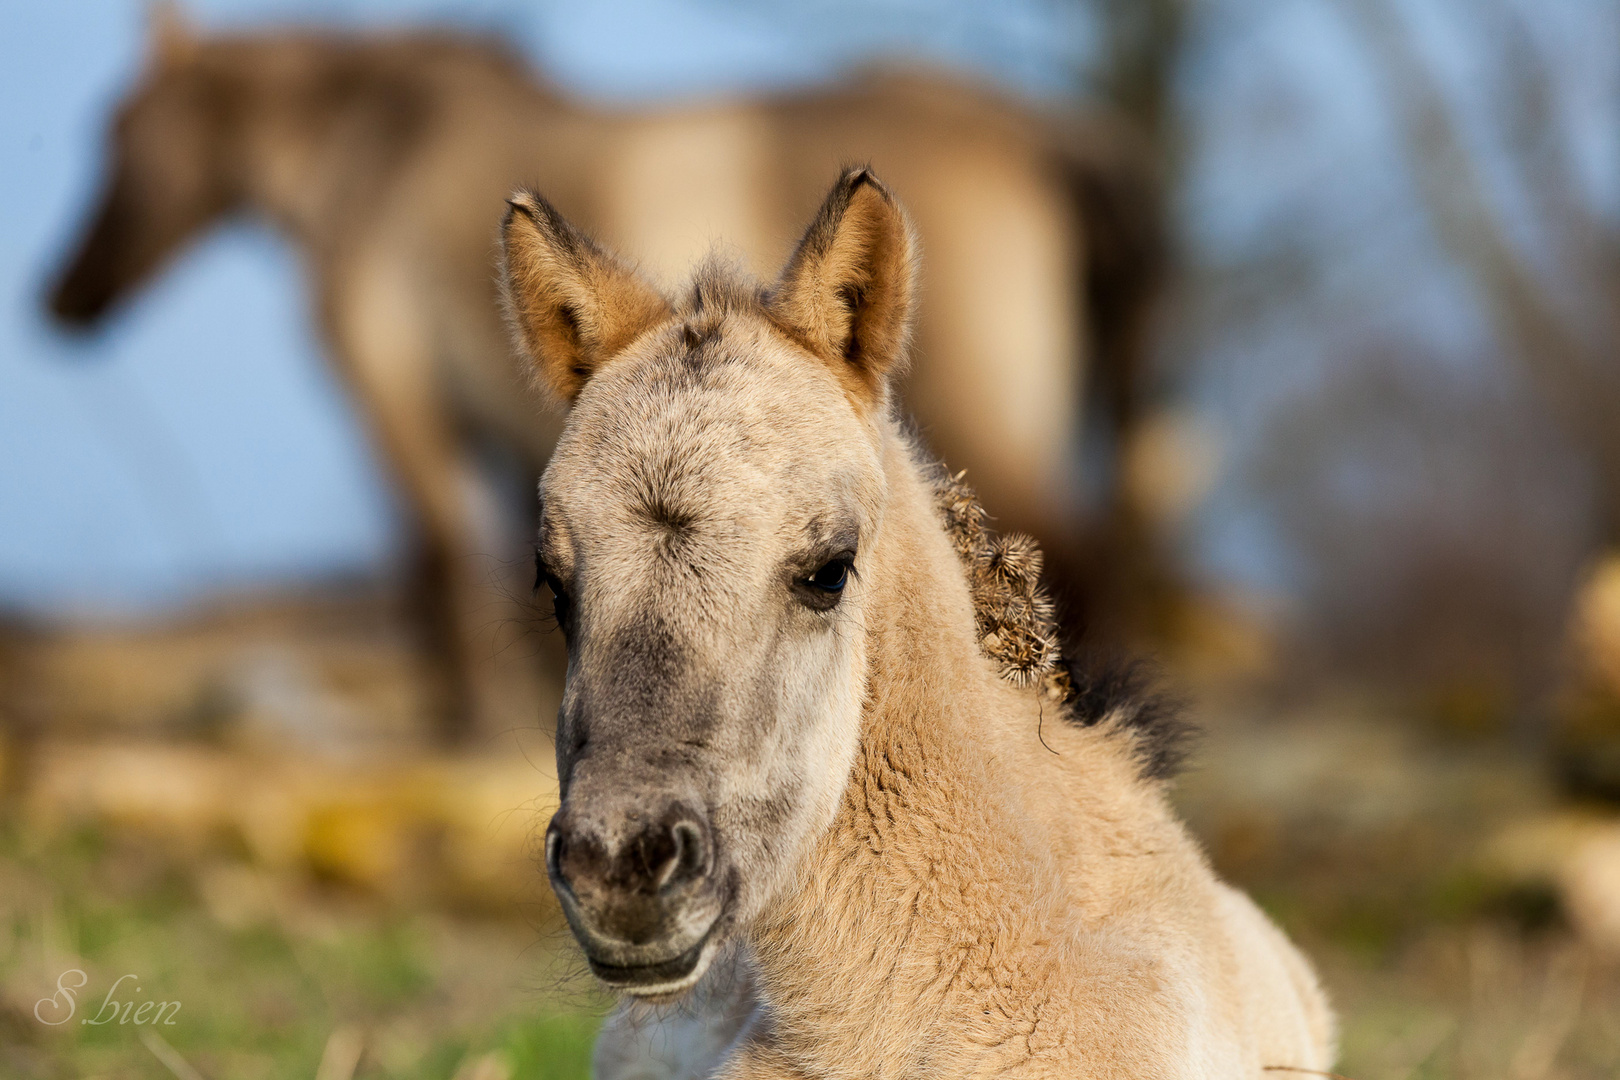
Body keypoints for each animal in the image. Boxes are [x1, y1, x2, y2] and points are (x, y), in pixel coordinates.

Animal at [50, 4, 1166, 738]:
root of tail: (1049, 139)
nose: (62, 300)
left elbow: (432, 562)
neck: (384, 147)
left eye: (117, 133)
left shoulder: (396, 396)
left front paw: (463, 729)